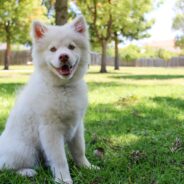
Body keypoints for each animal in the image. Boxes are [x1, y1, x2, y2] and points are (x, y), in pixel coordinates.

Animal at [0, 15, 95, 184]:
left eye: (71, 47)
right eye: (53, 49)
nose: (63, 56)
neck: (63, 88)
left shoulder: (77, 126)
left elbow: (79, 150)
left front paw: (87, 167)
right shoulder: (50, 130)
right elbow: (59, 159)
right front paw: (64, 179)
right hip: (26, 150)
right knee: (7, 168)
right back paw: (27, 172)